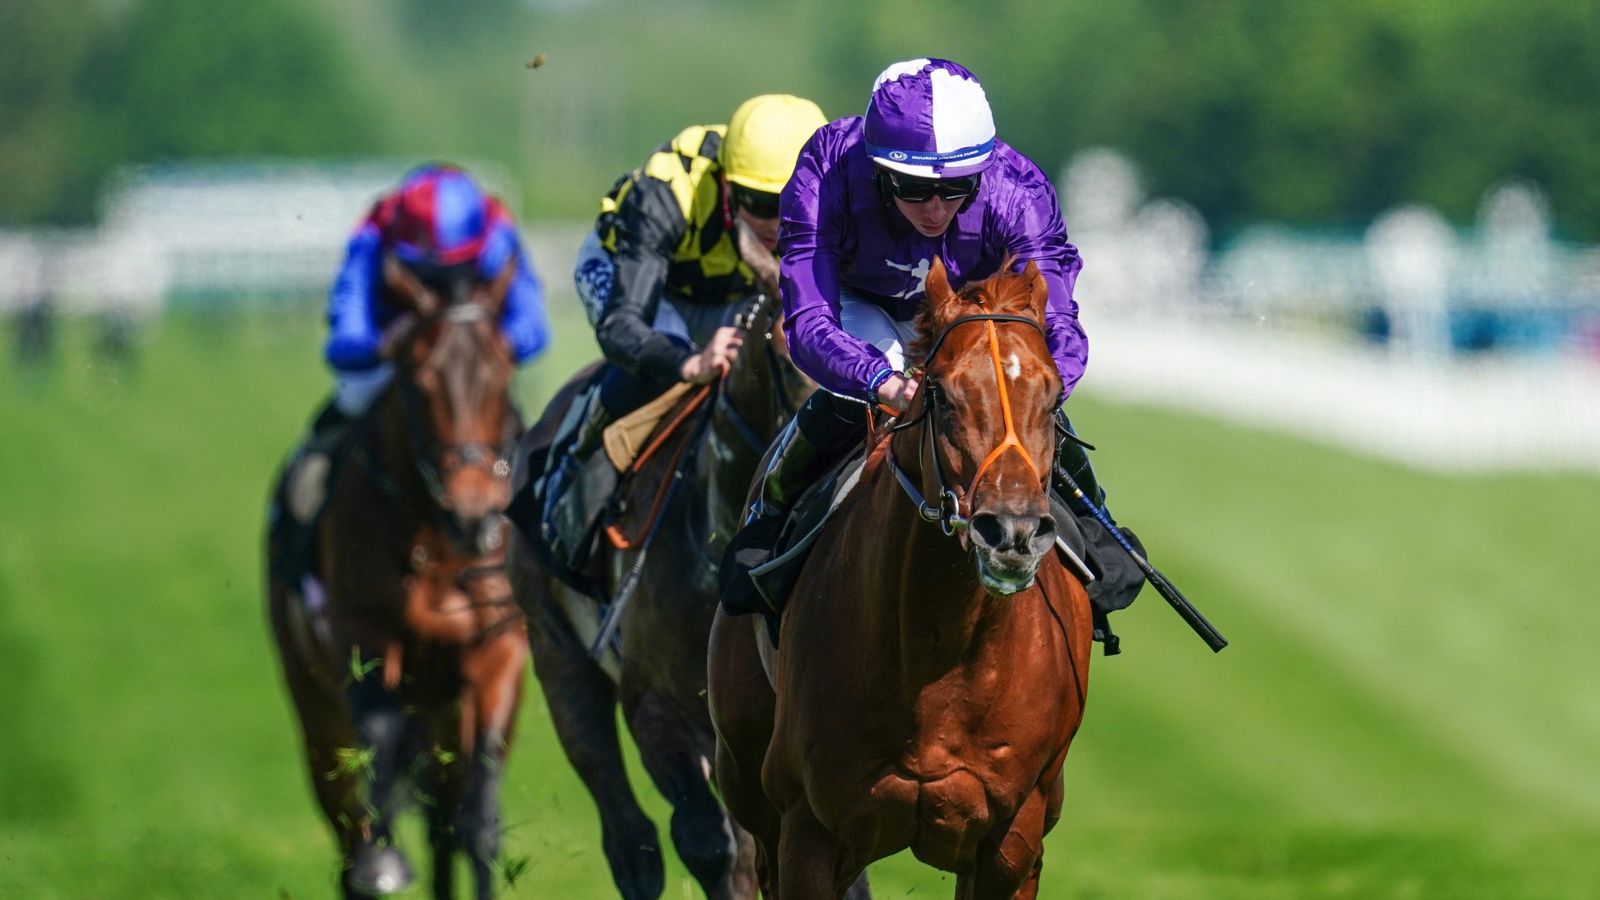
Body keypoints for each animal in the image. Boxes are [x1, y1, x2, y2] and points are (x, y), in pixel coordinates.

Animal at [268, 257, 528, 896]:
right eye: (421, 378)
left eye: (502, 369)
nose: (474, 515)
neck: (438, 545)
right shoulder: (367, 639)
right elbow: (379, 767)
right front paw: (383, 866)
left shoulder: (497, 650)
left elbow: (477, 821)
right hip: (316, 706)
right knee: (349, 820)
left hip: (441, 715)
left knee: (443, 823)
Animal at [713, 256, 1100, 890]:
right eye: (940, 393)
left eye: (1051, 395)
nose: (1012, 531)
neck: (940, 650)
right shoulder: (809, 828)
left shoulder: (1012, 841)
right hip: (746, 770)